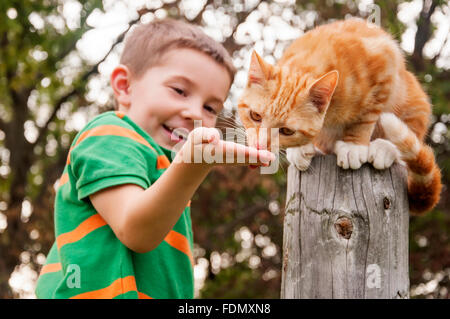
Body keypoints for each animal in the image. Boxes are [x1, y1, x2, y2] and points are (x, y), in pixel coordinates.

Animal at [237, 18, 442, 216]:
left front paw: (353, 146)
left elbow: (366, 117)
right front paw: (300, 149)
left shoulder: (385, 66)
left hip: (415, 102)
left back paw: (383, 148)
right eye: (255, 116)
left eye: (286, 131)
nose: (259, 145)